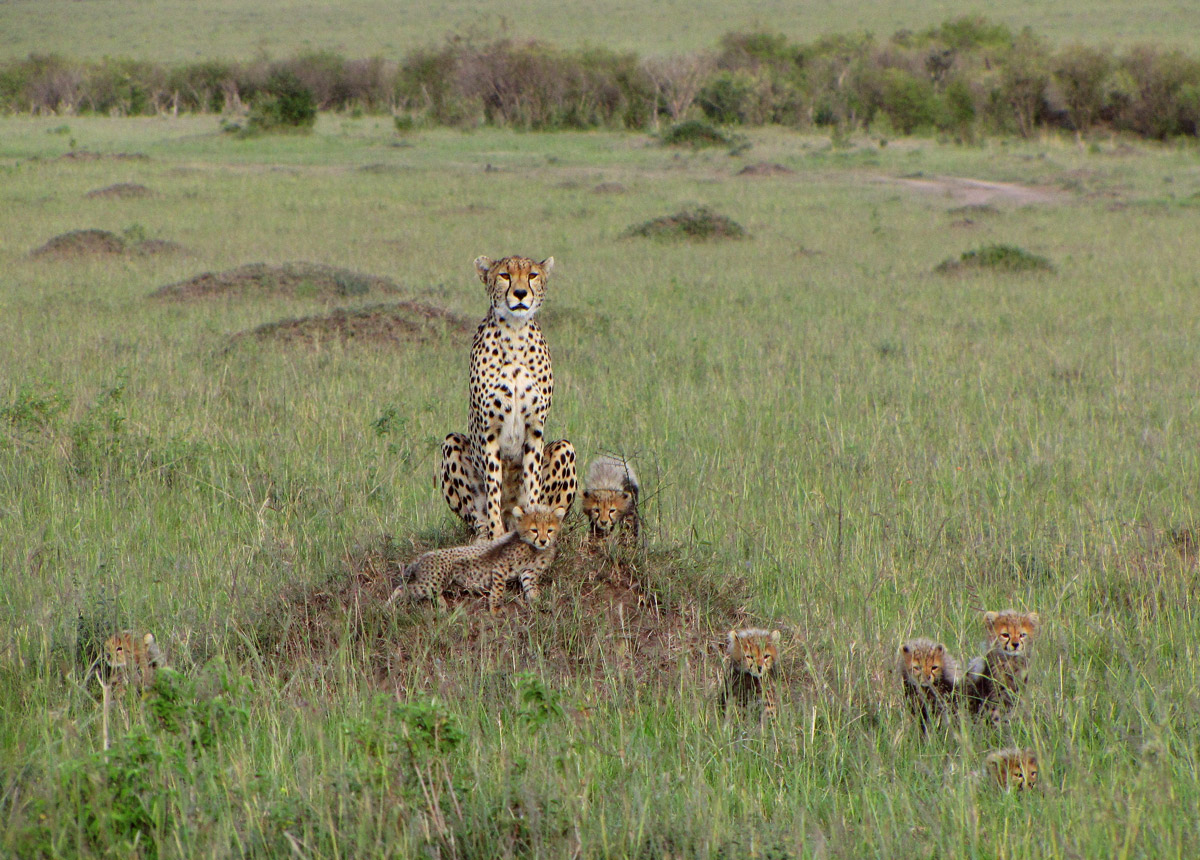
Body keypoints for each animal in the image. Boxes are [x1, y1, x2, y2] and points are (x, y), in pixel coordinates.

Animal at [388, 498, 566, 614]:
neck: (533, 548)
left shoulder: (528, 572)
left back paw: (442, 606)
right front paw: (495, 608)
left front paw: (537, 601)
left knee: (432, 593)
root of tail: (425, 554)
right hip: (431, 581)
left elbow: (532, 588)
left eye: (549, 530)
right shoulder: (500, 567)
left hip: (438, 582)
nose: (543, 541)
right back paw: (388, 606)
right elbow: (499, 589)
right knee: (402, 588)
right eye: (534, 530)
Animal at [441, 251, 576, 539]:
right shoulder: (489, 429)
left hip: (565, 448)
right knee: (477, 516)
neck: (515, 334)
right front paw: (495, 533)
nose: (521, 293)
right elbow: (493, 486)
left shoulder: (535, 426)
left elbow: (531, 482)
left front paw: (535, 524)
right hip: (451, 444)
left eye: (532, 275)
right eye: (505, 275)